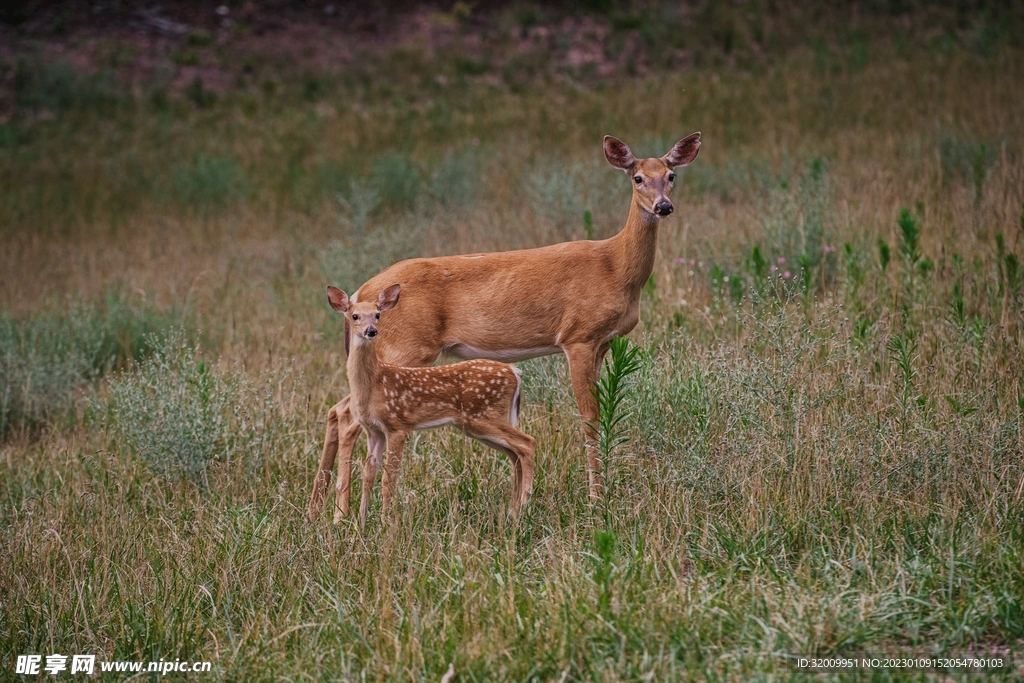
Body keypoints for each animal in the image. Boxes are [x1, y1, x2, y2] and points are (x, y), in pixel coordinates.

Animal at [326, 283, 535, 524]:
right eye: (355, 316)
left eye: (377, 315)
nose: (371, 331)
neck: (374, 384)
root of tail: (514, 373)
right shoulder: (374, 431)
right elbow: (368, 476)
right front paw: (361, 521)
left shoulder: (398, 424)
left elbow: (389, 478)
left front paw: (385, 521)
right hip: (479, 423)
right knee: (515, 453)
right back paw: (513, 510)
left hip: (483, 415)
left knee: (527, 443)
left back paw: (524, 506)